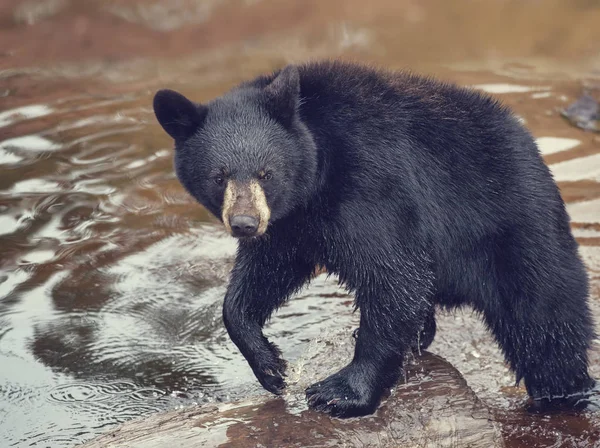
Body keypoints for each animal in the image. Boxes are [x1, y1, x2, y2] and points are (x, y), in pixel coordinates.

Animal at [152, 59, 592, 416]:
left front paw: (340, 392)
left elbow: (392, 275)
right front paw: (271, 365)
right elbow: (264, 272)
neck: (317, 175)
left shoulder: (371, 185)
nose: (244, 223)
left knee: (544, 322)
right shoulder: (290, 223)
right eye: (219, 176)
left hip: (516, 229)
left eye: (266, 172)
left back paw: (563, 394)